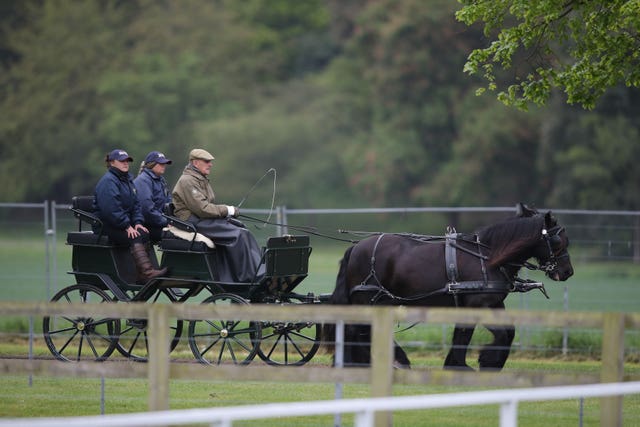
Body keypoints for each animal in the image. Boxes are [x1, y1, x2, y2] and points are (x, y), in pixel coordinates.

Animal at [322, 204, 572, 372]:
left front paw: (461, 364)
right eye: (559, 241)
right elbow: (486, 334)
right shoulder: (477, 304)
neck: (487, 257)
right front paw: (484, 362)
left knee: (364, 330)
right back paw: (359, 363)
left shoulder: (490, 303)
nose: (568, 272)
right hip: (369, 298)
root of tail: (356, 248)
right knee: (355, 330)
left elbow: (497, 333)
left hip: (382, 300)